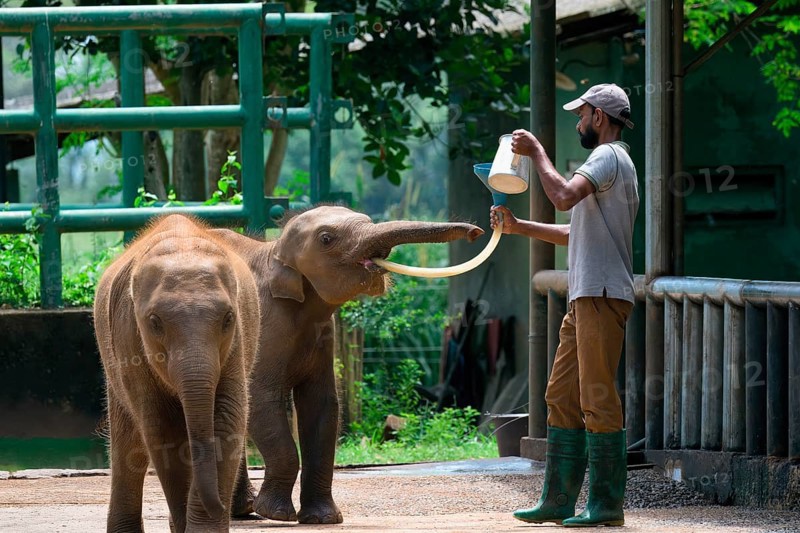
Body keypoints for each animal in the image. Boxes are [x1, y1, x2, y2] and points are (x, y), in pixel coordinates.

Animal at [93, 214, 261, 533]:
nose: (223, 508)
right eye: (154, 322)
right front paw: (186, 524)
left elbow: (226, 418)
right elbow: (163, 428)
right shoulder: (128, 336)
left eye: (228, 318)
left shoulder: (236, 343)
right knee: (129, 443)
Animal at [213, 205, 484, 524]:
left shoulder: (322, 334)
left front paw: (323, 519)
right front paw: (277, 514)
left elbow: (323, 405)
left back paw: (241, 511)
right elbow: (260, 398)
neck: (275, 251)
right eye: (326, 239)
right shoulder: (267, 323)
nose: (477, 232)